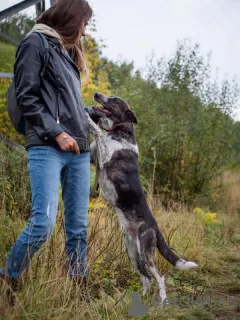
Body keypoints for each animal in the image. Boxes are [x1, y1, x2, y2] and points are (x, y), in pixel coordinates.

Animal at [86, 93, 197, 304]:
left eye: (114, 100)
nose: (96, 95)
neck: (119, 130)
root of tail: (155, 227)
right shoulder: (94, 159)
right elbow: (96, 138)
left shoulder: (105, 157)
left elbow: (98, 132)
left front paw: (89, 117)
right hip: (132, 253)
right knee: (146, 279)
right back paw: (138, 300)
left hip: (145, 252)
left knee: (159, 277)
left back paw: (162, 300)